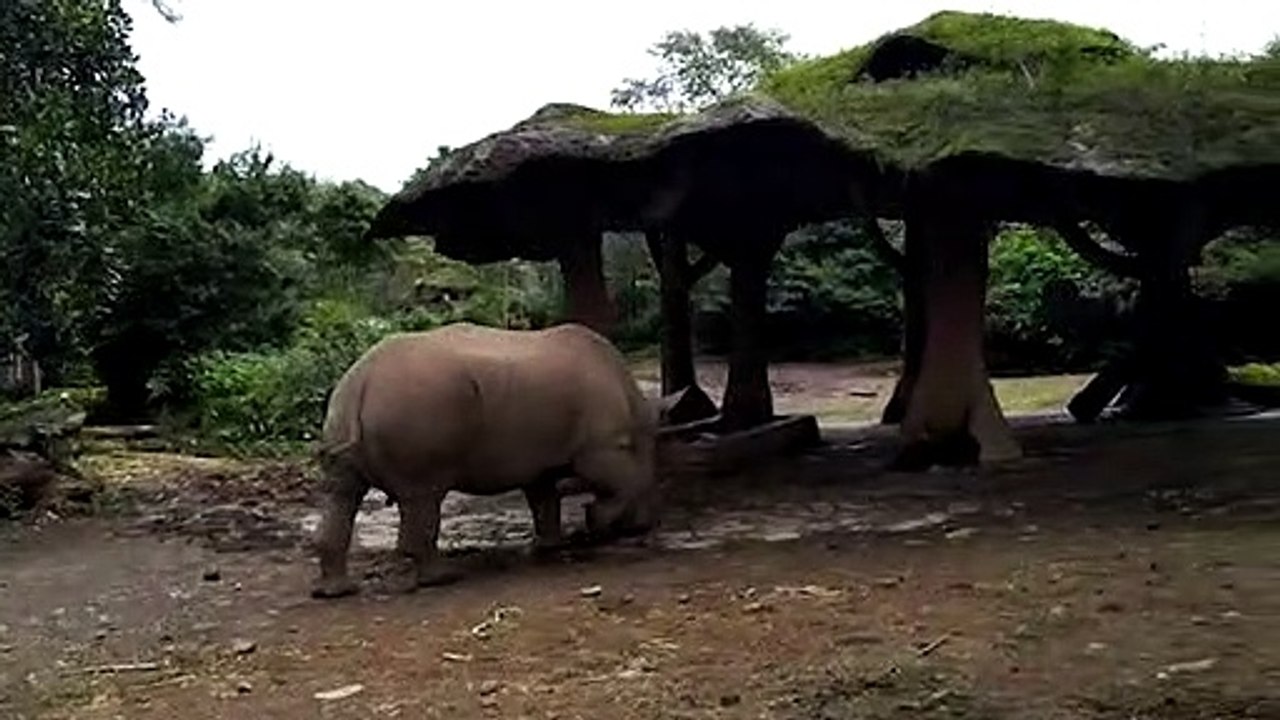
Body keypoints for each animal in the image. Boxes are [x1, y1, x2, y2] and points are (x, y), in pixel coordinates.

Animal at [310, 322, 661, 599]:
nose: (643, 526)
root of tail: (362, 382)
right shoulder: (603, 446)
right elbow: (624, 481)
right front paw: (597, 522)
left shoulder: (539, 458)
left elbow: (544, 498)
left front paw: (549, 547)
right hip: (414, 406)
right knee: (424, 495)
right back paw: (443, 579)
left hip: (343, 410)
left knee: (343, 491)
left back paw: (335, 592)